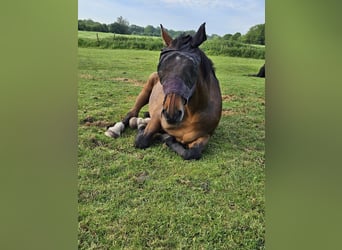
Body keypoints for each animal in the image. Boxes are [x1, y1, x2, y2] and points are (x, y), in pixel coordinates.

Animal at [107, 23, 224, 160]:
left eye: (192, 70)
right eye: (161, 68)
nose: (171, 115)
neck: (192, 113)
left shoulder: (205, 136)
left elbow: (192, 153)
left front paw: (165, 136)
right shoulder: (158, 116)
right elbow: (142, 140)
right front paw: (146, 129)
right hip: (145, 92)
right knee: (132, 113)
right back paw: (116, 129)